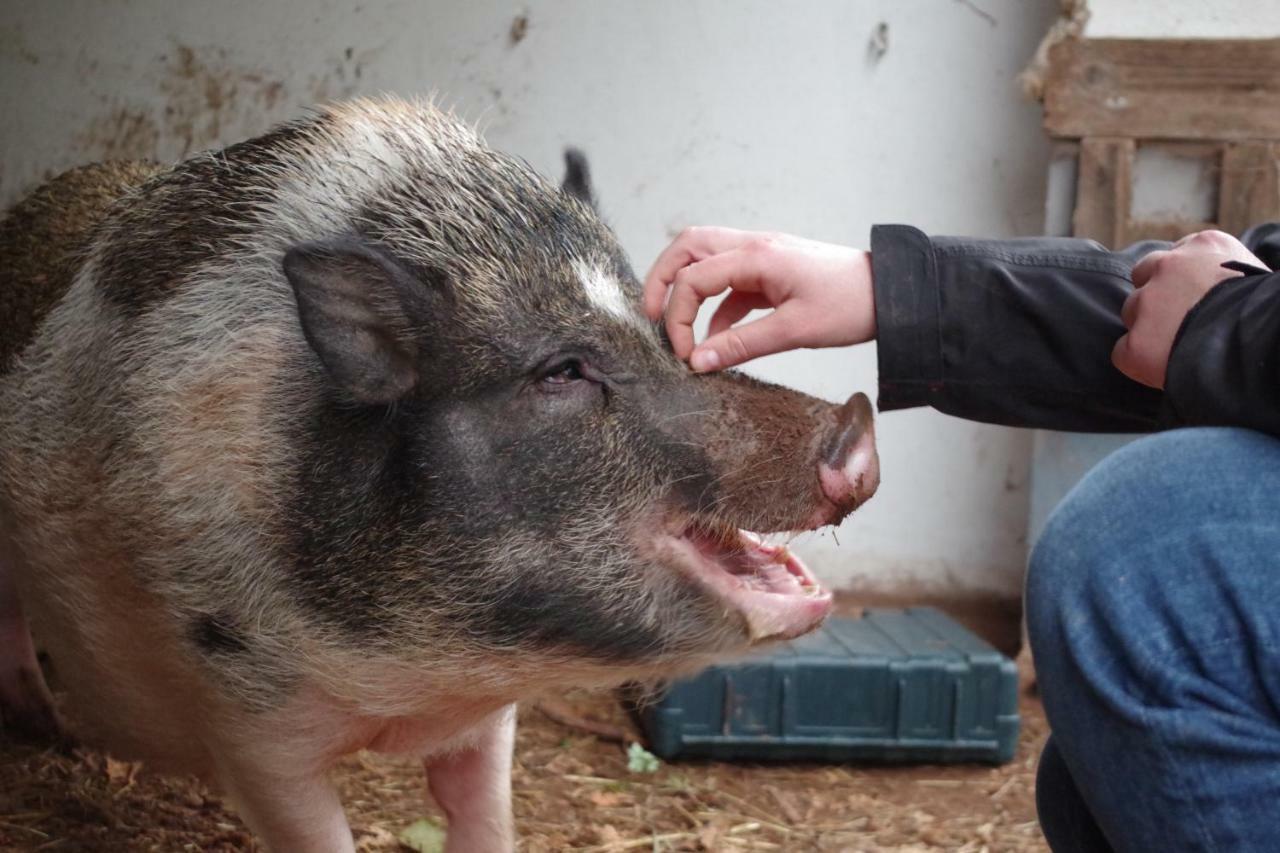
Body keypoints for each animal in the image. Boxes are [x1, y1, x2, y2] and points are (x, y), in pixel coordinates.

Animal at [0, 101, 880, 850]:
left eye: (666, 325)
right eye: (563, 370)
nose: (855, 420)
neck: (411, 682)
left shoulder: (491, 719)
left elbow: (481, 814)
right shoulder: (248, 720)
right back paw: (44, 725)